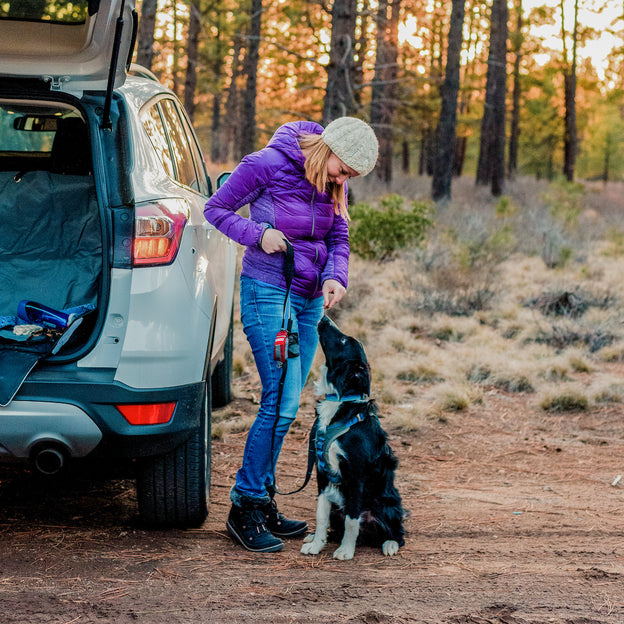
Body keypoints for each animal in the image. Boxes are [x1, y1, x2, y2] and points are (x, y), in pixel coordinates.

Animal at [302, 316, 408, 560]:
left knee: (397, 532)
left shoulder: (356, 475)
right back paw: (316, 537)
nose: (323, 317)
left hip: (389, 504)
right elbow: (321, 515)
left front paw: (345, 550)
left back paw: (390, 544)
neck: (340, 402)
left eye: (343, 340)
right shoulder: (322, 474)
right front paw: (317, 544)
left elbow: (352, 519)